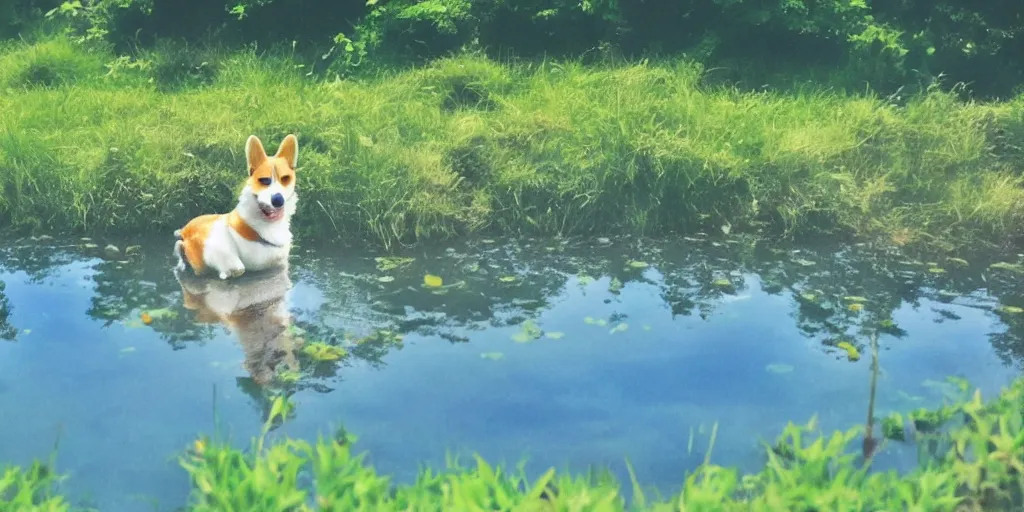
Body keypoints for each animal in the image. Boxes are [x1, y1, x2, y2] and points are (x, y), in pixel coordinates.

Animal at [172, 134, 299, 280]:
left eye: (285, 178)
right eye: (264, 180)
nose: (278, 200)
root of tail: (184, 229)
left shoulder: (280, 264)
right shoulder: (217, 243)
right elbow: (236, 267)